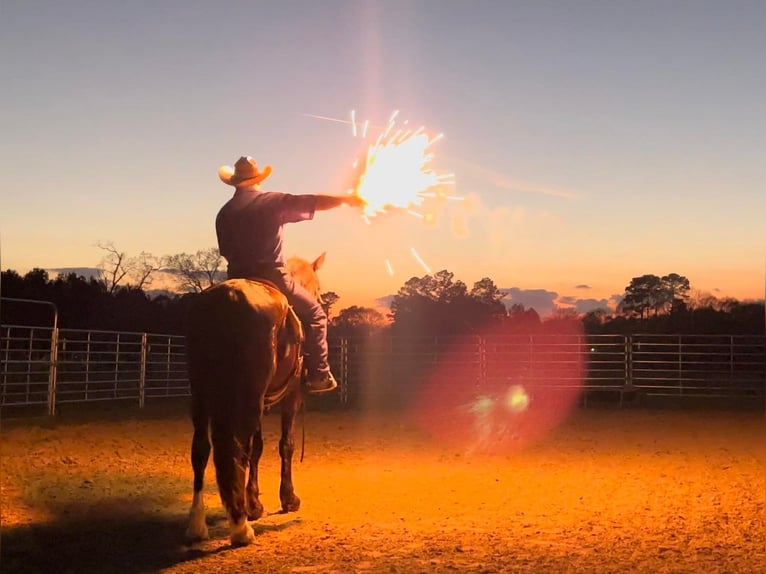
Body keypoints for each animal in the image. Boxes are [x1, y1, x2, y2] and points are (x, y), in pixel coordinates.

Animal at [188, 254, 328, 548]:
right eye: (318, 288)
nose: (321, 300)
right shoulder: (292, 396)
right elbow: (285, 444)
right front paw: (288, 499)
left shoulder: (263, 401)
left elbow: (258, 447)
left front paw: (254, 504)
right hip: (246, 396)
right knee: (235, 446)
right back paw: (240, 529)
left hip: (201, 395)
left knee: (201, 449)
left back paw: (197, 525)